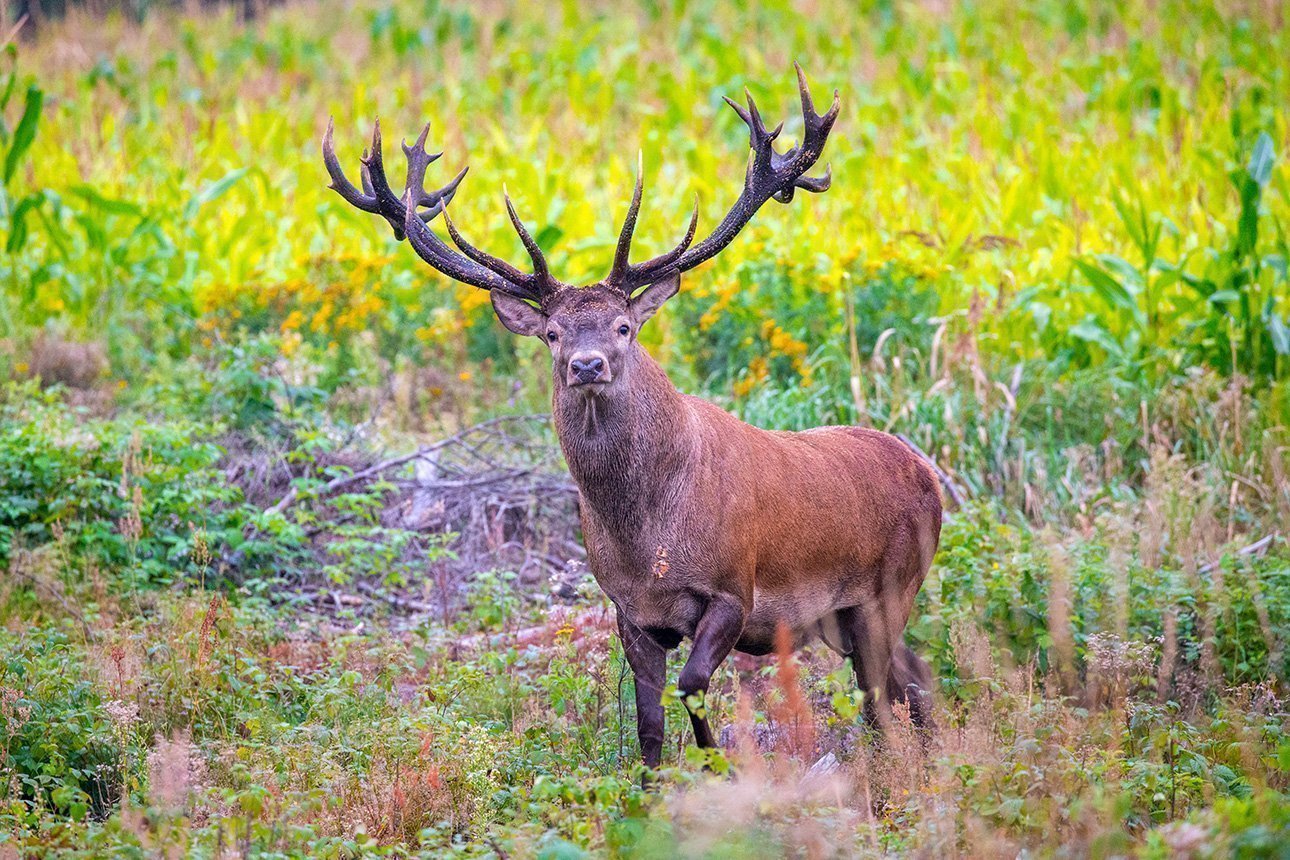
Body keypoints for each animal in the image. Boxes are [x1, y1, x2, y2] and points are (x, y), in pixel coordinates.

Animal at [325, 65, 939, 768]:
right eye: (554, 334)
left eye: (623, 326)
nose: (588, 365)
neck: (648, 541)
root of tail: (930, 474)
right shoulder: (631, 610)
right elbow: (648, 722)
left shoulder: (735, 590)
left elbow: (693, 685)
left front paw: (717, 766)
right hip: (843, 617)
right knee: (912, 677)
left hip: (889, 589)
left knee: (884, 693)